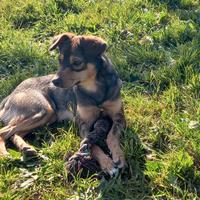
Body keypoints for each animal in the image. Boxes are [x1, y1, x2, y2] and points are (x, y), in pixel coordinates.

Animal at [0, 32, 125, 177]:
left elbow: (112, 136)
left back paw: (26, 148)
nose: (54, 81)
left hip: (45, 116)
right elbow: (92, 146)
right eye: (60, 60)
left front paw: (118, 156)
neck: (94, 88)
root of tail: (9, 95)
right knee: (4, 132)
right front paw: (107, 164)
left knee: (15, 133)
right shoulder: (83, 124)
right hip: (43, 110)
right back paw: (5, 155)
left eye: (76, 62)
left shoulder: (119, 117)